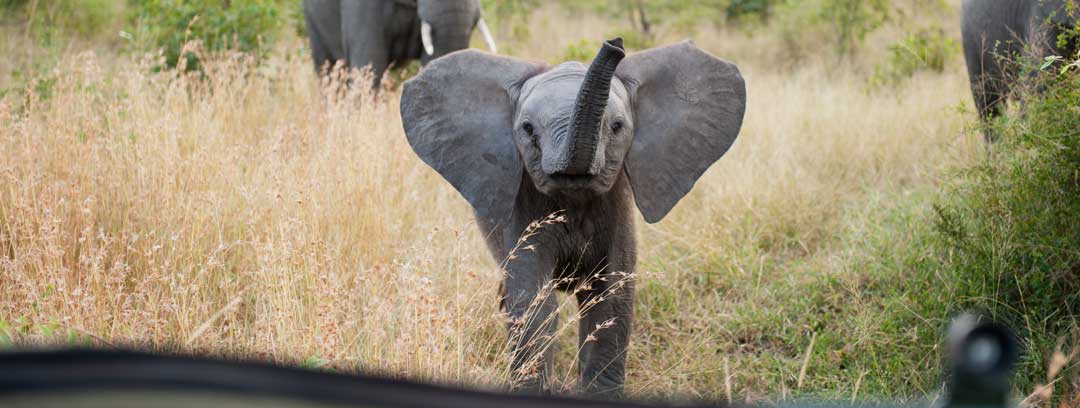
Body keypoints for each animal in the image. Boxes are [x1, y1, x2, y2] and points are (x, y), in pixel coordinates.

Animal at [401, 38, 747, 395]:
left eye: (617, 127)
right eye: (527, 129)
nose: (615, 44)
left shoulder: (617, 205)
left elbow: (610, 299)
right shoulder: (523, 208)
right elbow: (534, 302)